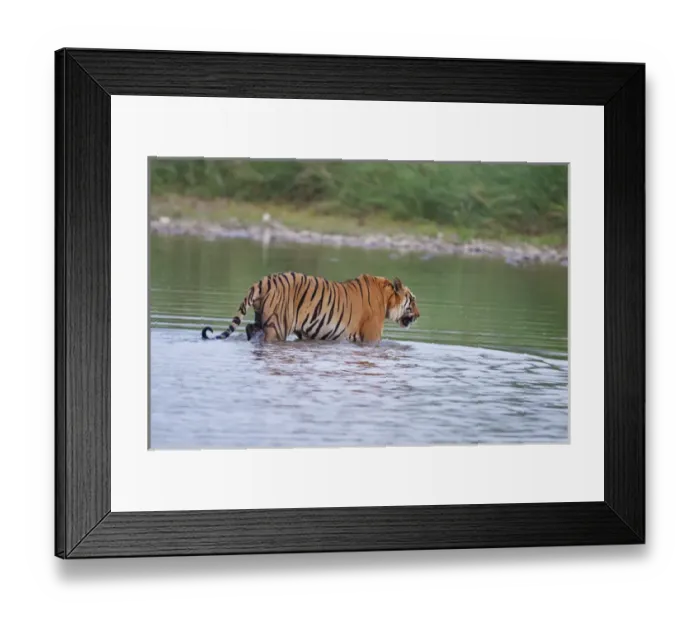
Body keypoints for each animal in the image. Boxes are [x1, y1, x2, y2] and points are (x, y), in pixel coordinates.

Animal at [201, 272, 420, 344]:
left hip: (261, 317)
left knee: (249, 328)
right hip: (278, 327)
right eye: (412, 300)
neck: (387, 299)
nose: (418, 315)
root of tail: (263, 281)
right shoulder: (371, 337)